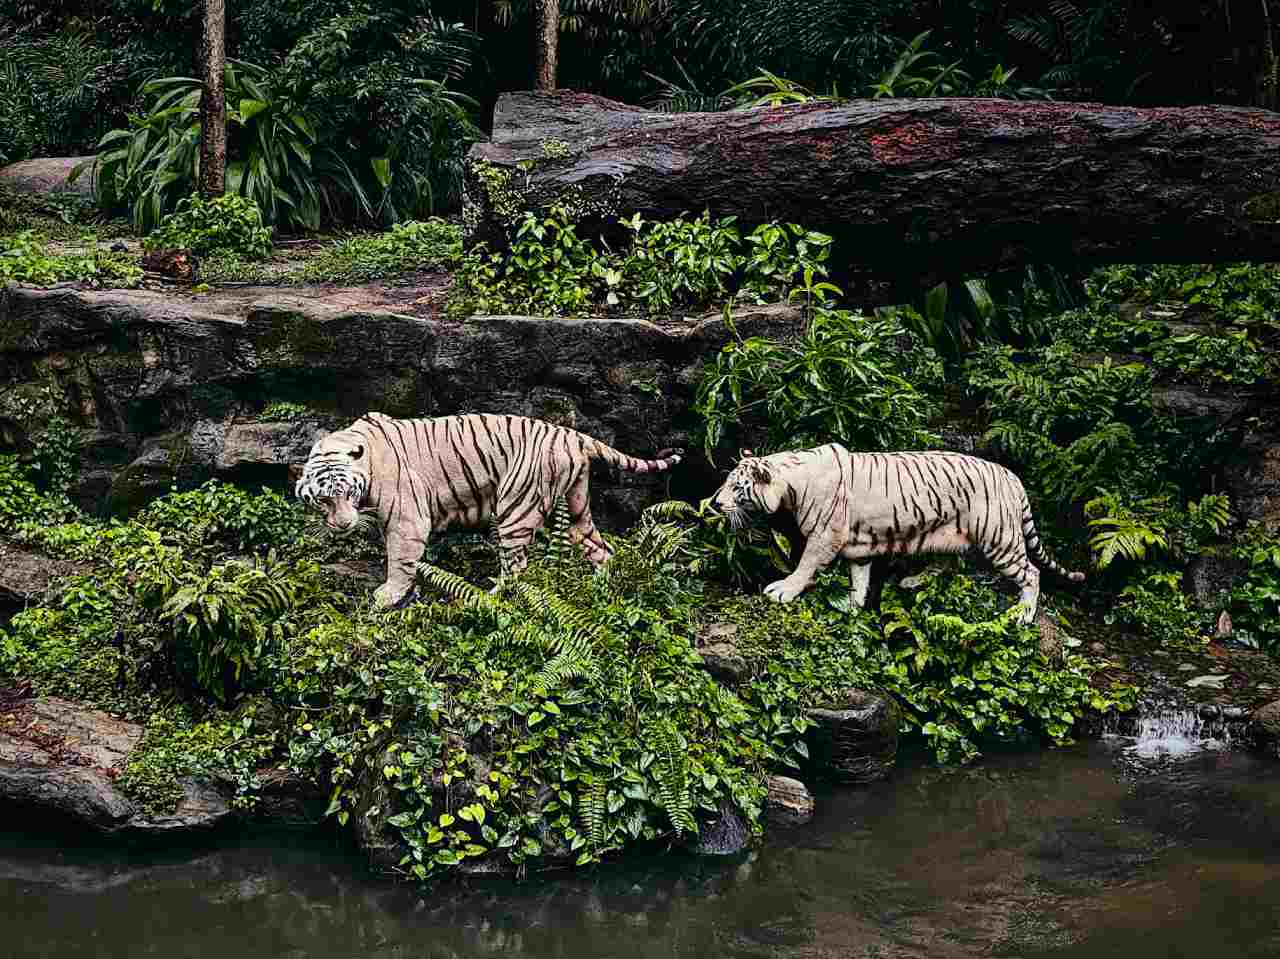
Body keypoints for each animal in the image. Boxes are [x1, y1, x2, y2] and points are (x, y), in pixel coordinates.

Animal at [295, 411, 683, 608]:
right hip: (575, 507)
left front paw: (388, 595)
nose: (342, 526)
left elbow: (401, 561)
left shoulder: (407, 521)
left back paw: (486, 598)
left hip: (515, 508)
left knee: (516, 568)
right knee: (600, 548)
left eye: (349, 492)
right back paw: (603, 588)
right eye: (323, 499)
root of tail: (573, 435)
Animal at [708, 443, 1084, 624]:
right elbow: (859, 579)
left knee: (1031, 572)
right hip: (950, 532)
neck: (791, 484)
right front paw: (854, 608)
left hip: (999, 537)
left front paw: (783, 590)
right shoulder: (857, 548)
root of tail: (1012, 476)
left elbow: (805, 565)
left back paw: (1024, 613)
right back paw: (913, 581)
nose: (714, 503)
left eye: (736, 486)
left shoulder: (823, 537)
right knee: (950, 565)